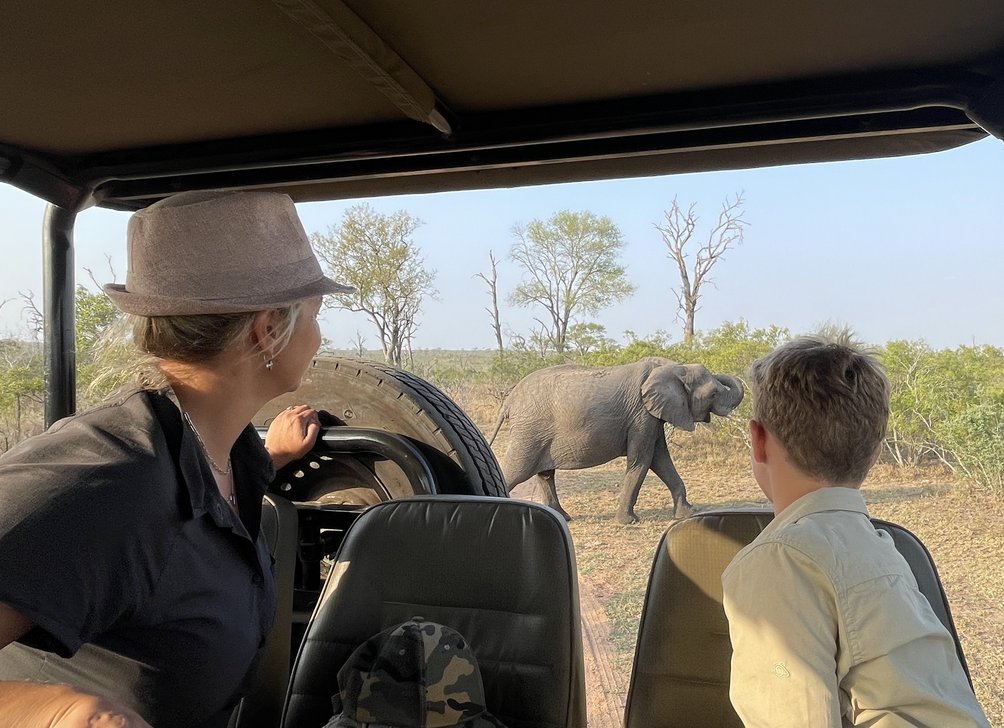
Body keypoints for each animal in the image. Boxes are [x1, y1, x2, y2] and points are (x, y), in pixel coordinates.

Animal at [489, 355, 742, 522]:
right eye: (714, 394)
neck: (674, 368)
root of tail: (508, 401)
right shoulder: (641, 414)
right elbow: (643, 461)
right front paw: (629, 522)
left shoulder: (652, 415)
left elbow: (660, 459)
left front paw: (689, 514)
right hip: (529, 431)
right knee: (516, 470)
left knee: (544, 474)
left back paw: (563, 517)